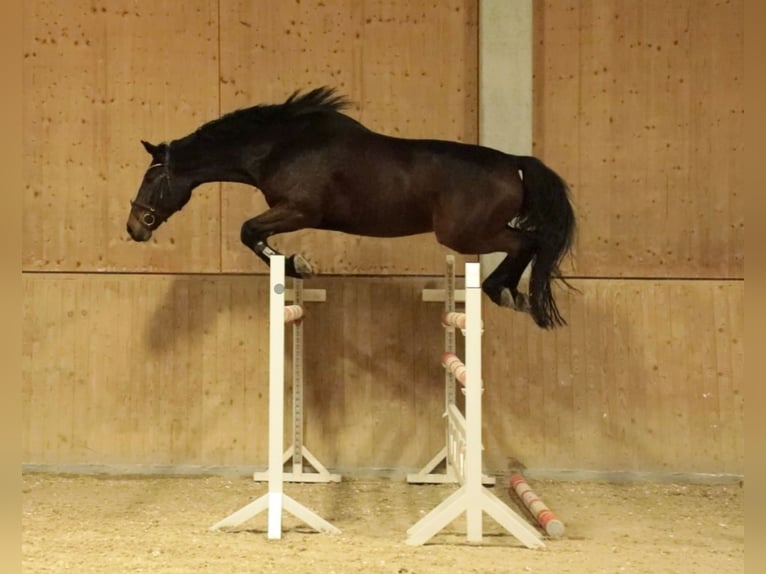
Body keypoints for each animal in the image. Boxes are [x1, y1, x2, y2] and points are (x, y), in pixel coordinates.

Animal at [127, 85, 576, 328]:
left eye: (150, 179)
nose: (134, 227)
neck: (280, 145)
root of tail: (514, 162)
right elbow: (254, 233)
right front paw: (295, 265)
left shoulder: (300, 210)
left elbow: (249, 231)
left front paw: (296, 264)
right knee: (529, 243)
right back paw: (507, 293)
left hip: (466, 235)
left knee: (528, 242)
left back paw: (503, 291)